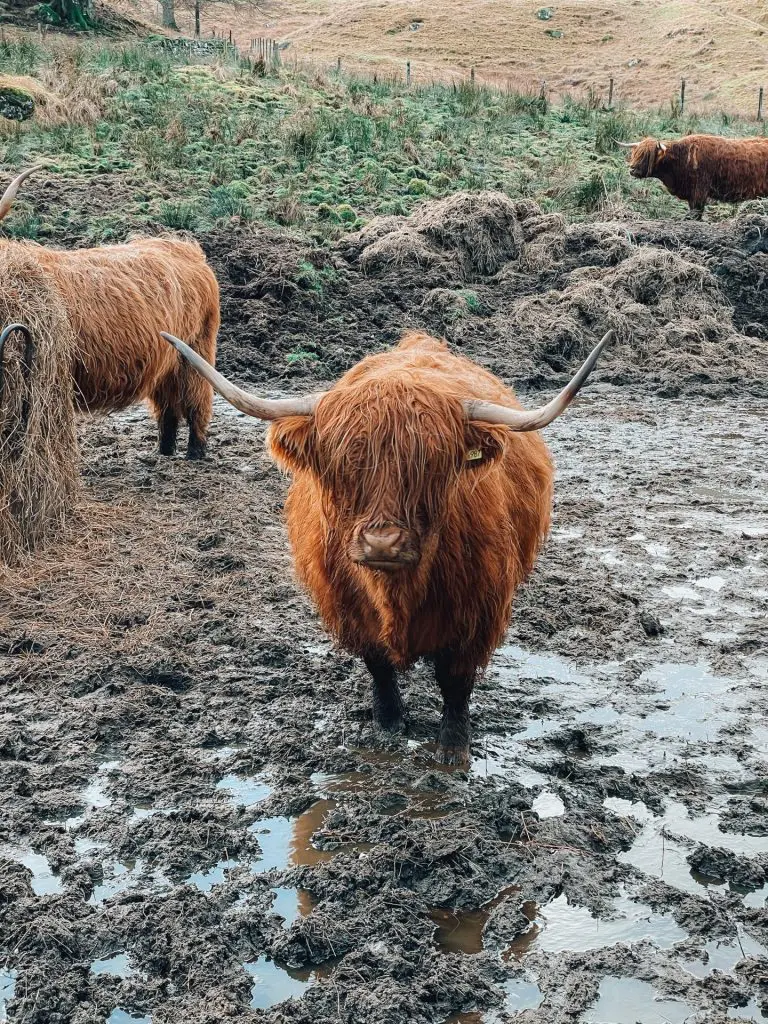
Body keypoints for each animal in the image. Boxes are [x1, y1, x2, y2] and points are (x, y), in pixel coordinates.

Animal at [0, 167, 219, 458]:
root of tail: (186, 248)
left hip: (196, 350)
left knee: (197, 402)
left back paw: (195, 451)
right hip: (168, 362)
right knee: (168, 408)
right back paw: (163, 451)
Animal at [161, 328, 612, 763]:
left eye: (429, 466)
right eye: (344, 466)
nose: (381, 543)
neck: (396, 593)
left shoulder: (477, 609)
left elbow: (455, 680)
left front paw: (453, 747)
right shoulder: (346, 605)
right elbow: (378, 664)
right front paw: (389, 724)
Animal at [618, 134, 768, 219]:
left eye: (647, 156)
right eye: (636, 153)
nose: (632, 169)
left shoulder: (699, 191)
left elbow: (696, 212)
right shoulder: (691, 193)